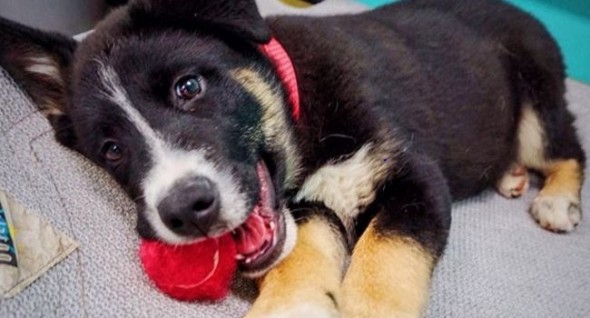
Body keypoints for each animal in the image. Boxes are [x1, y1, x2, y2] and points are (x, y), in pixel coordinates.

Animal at [0, 0, 584, 316]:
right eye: (113, 150)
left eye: (188, 88)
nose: (184, 211)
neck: (300, 108)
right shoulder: (306, 208)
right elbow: (299, 256)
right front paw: (288, 305)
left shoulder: (414, 176)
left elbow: (385, 260)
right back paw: (511, 177)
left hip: (536, 95)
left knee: (566, 147)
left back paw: (555, 200)